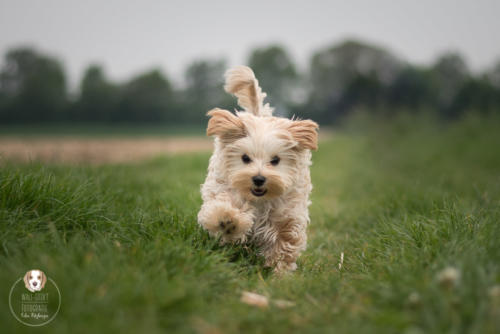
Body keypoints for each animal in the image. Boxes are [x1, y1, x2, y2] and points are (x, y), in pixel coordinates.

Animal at [197, 66, 318, 274]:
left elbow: (284, 245)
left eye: (275, 160)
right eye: (245, 158)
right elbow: (223, 208)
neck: (260, 201)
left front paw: (279, 273)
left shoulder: (289, 218)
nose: (259, 179)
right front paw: (227, 221)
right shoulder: (222, 191)